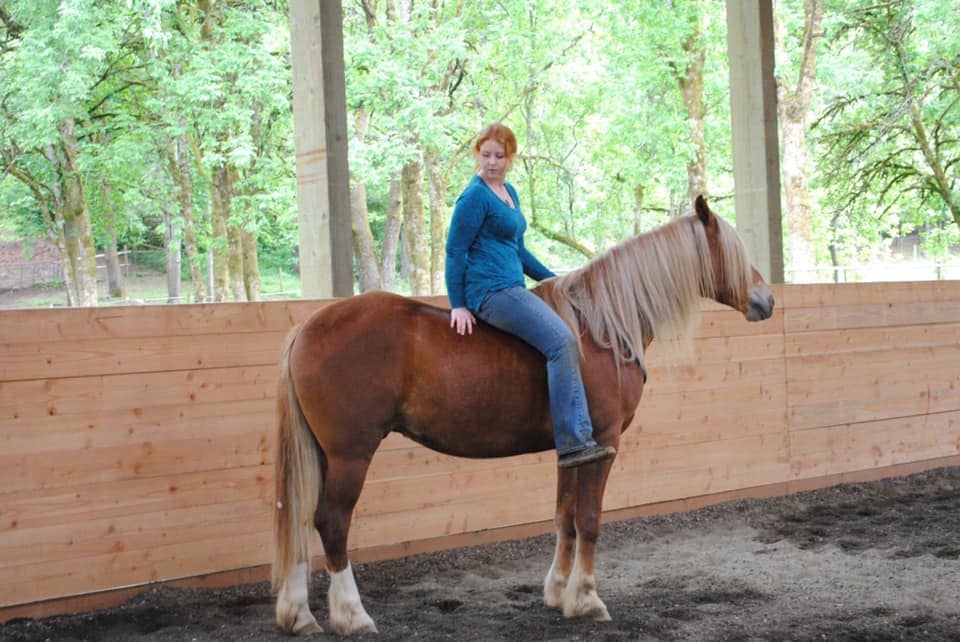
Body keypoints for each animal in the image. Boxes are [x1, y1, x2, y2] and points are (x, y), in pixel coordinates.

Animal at [268, 196, 772, 636]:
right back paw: (352, 615)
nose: (766, 299)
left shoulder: (575, 448)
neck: (600, 329)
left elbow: (564, 517)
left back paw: (298, 614)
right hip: (351, 454)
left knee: (298, 517)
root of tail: (307, 327)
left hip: (322, 454)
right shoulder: (605, 443)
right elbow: (590, 520)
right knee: (332, 522)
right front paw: (586, 598)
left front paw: (558, 591)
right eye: (733, 250)